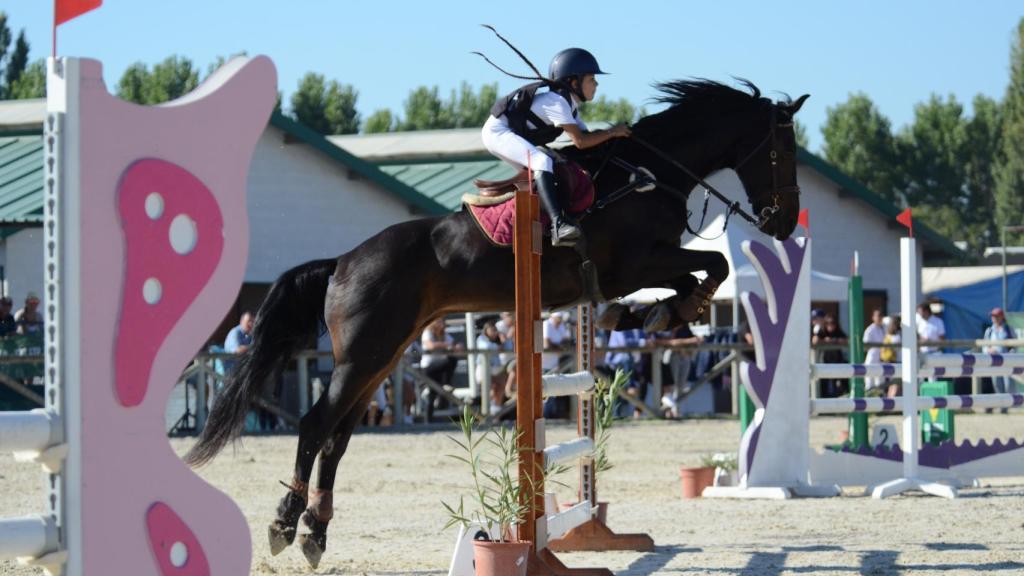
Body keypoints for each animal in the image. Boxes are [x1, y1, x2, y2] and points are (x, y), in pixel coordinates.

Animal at [184, 77, 806, 565]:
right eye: (781, 152)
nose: (781, 223)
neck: (650, 173)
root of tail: (342, 262)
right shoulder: (634, 263)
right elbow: (713, 263)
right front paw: (660, 310)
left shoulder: (644, 265)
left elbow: (700, 272)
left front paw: (656, 312)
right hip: (362, 357)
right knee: (316, 426)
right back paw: (285, 523)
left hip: (381, 357)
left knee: (337, 438)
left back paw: (316, 532)